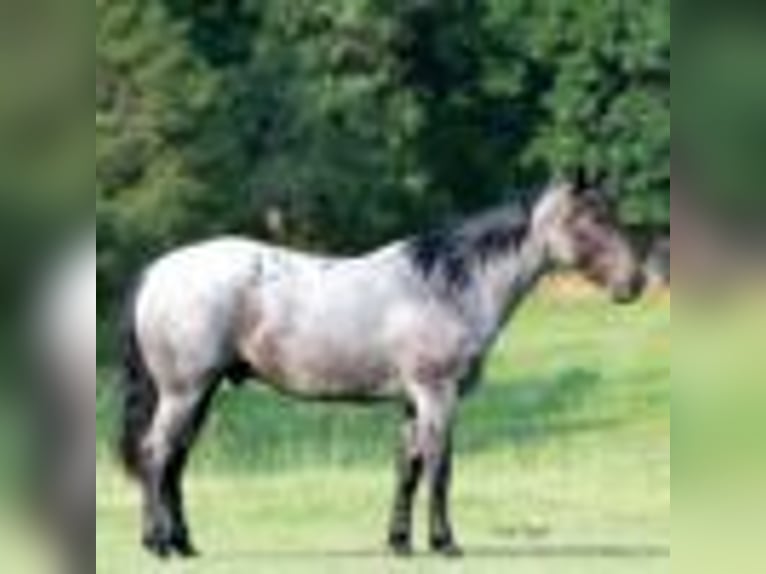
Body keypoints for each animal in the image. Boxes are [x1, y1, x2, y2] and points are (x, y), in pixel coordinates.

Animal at [119, 177, 645, 559]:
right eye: (591, 219)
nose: (634, 282)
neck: (446, 286)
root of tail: (157, 271)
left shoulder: (412, 401)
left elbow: (407, 468)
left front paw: (400, 543)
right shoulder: (437, 394)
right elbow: (440, 467)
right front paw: (445, 543)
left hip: (200, 393)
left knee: (175, 461)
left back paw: (184, 544)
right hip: (185, 392)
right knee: (155, 454)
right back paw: (157, 544)